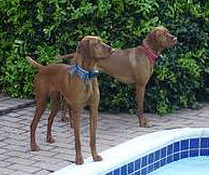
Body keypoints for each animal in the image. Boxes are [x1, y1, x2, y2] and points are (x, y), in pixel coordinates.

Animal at [26, 35, 114, 164]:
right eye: (96, 43)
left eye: (101, 41)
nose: (113, 50)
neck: (88, 75)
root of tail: (43, 68)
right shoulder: (77, 110)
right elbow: (77, 139)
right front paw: (79, 159)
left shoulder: (94, 110)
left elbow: (93, 138)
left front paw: (95, 156)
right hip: (42, 101)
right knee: (33, 124)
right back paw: (33, 146)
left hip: (56, 103)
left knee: (49, 119)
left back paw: (49, 138)